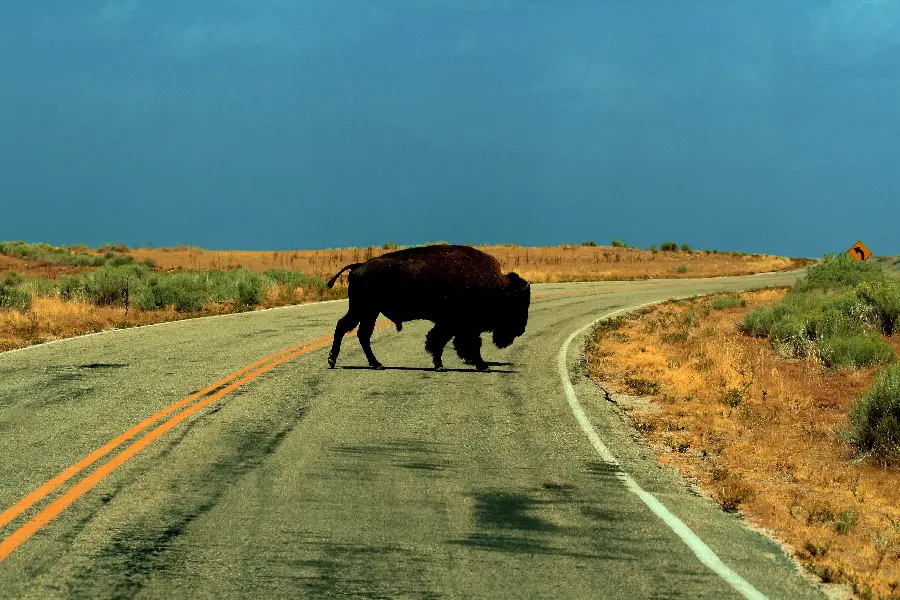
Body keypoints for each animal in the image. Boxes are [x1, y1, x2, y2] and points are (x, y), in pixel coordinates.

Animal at [326, 244, 532, 370]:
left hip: (369, 311)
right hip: (363, 309)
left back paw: (375, 364)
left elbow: (441, 341)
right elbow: (463, 343)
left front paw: (439, 364)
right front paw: (481, 365)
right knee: (346, 327)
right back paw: (334, 360)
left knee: (361, 333)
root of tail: (358, 266)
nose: (521, 329)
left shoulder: (452, 324)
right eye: (516, 304)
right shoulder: (460, 325)